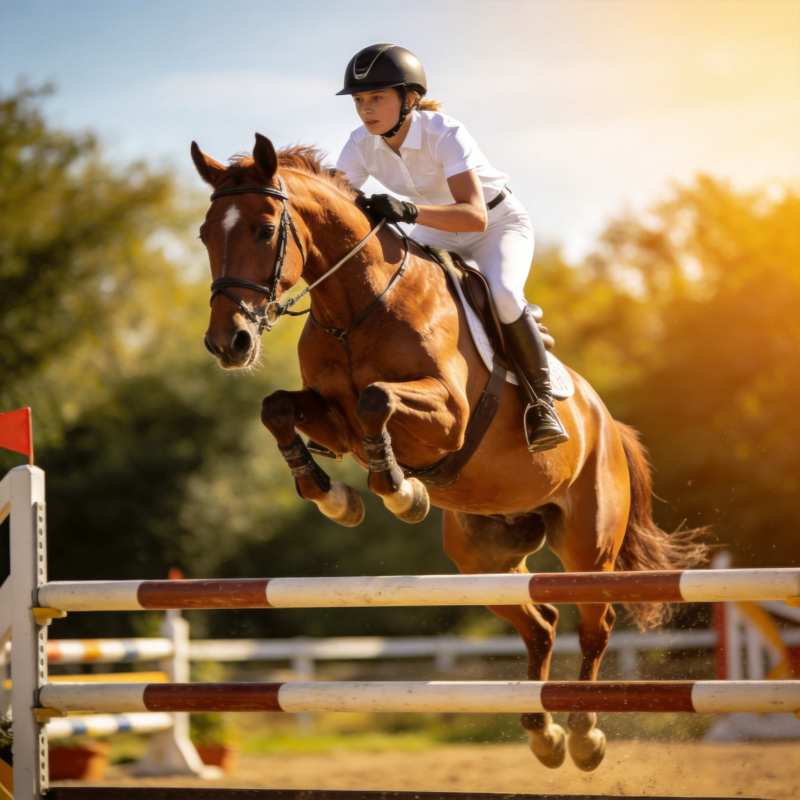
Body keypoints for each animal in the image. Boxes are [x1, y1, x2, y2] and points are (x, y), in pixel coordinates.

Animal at [191, 133, 707, 772]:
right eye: (205, 235)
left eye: (264, 230)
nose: (228, 343)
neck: (356, 307)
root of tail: (607, 422)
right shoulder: (332, 420)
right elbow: (279, 410)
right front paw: (335, 497)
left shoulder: (449, 417)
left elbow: (377, 399)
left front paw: (401, 491)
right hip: (481, 556)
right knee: (541, 622)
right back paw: (543, 732)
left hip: (588, 542)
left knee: (597, 622)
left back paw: (585, 733)